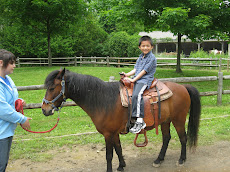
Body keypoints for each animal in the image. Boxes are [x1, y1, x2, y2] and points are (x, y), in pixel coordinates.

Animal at [41, 68, 201, 172]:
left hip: (178, 120)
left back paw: (181, 160)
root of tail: (183, 86)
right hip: (165, 121)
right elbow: (118, 149)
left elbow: (109, 155)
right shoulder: (114, 133)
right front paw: (121, 166)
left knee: (183, 138)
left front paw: (111, 169)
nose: (44, 109)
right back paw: (158, 160)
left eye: (52, 87)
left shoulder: (108, 134)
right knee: (167, 138)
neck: (104, 100)